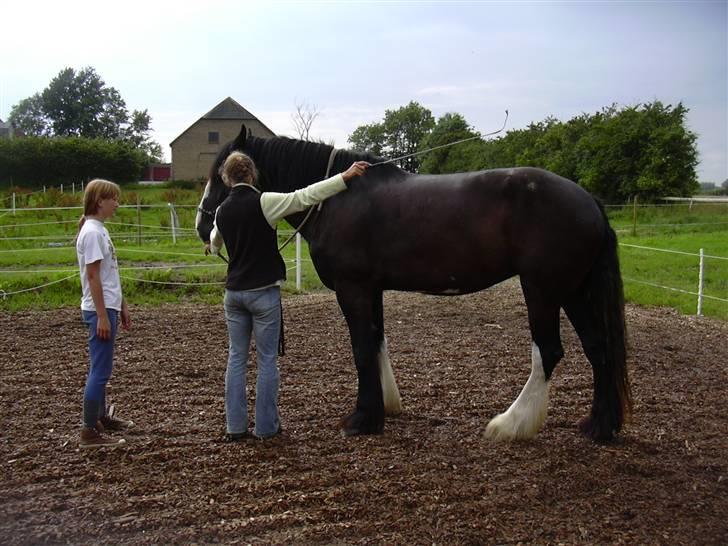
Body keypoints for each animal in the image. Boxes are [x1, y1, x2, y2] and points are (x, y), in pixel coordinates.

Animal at [196, 126, 628, 442]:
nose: (204, 226)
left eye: (219, 176)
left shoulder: (353, 289)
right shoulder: (371, 289)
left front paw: (361, 420)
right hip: (574, 290)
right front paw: (383, 407)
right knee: (599, 349)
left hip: (543, 290)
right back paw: (599, 428)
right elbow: (376, 344)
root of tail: (588, 200)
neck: (336, 197)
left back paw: (510, 424)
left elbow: (361, 349)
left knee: (549, 352)